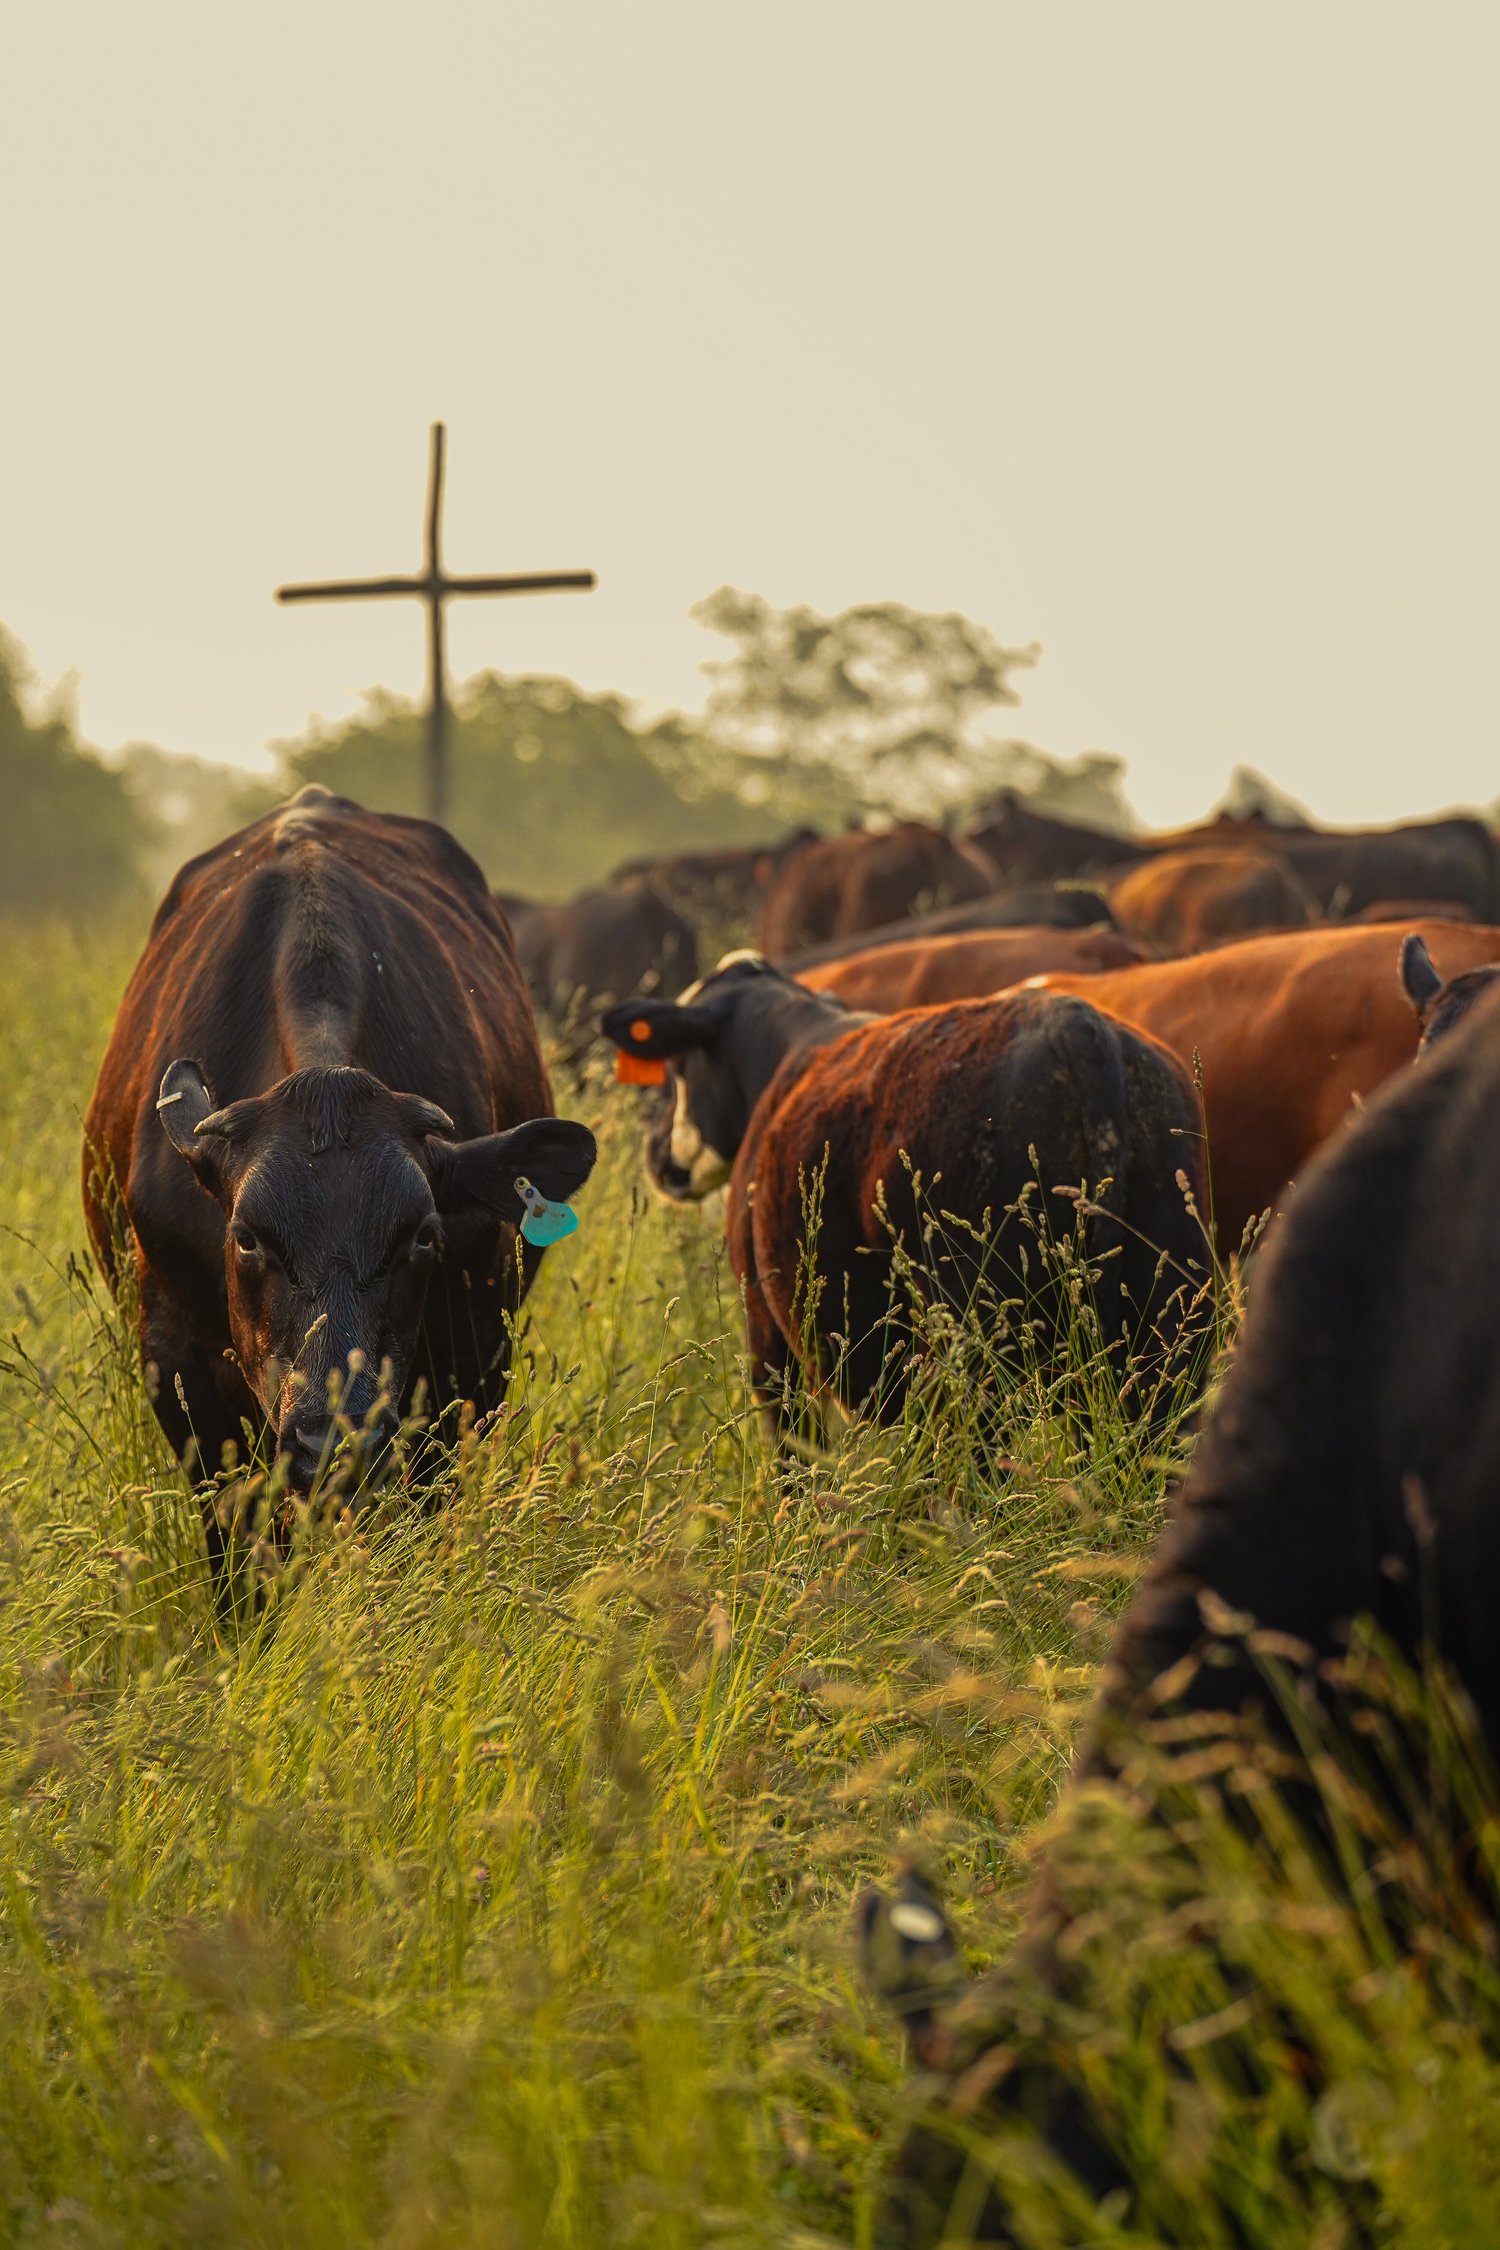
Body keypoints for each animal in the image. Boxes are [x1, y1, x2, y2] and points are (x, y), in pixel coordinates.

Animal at [601, 958, 1208, 1434]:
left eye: (677, 1068)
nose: (655, 1151)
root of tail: (1078, 1024)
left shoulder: (767, 1331)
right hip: (1171, 1326)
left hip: (975, 1345)